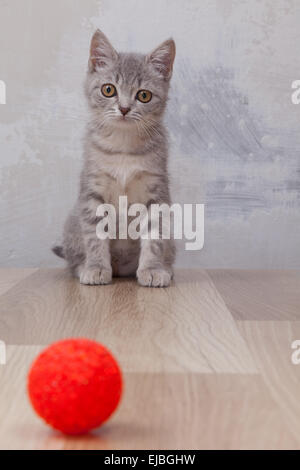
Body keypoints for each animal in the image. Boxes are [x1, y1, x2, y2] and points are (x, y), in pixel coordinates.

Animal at [53, 30, 176, 286]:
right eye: (108, 90)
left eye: (144, 95)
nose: (124, 108)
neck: (123, 148)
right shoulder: (92, 192)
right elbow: (94, 236)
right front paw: (97, 268)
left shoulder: (157, 193)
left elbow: (155, 236)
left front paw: (152, 269)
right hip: (72, 224)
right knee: (72, 260)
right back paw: (83, 266)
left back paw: (166, 268)